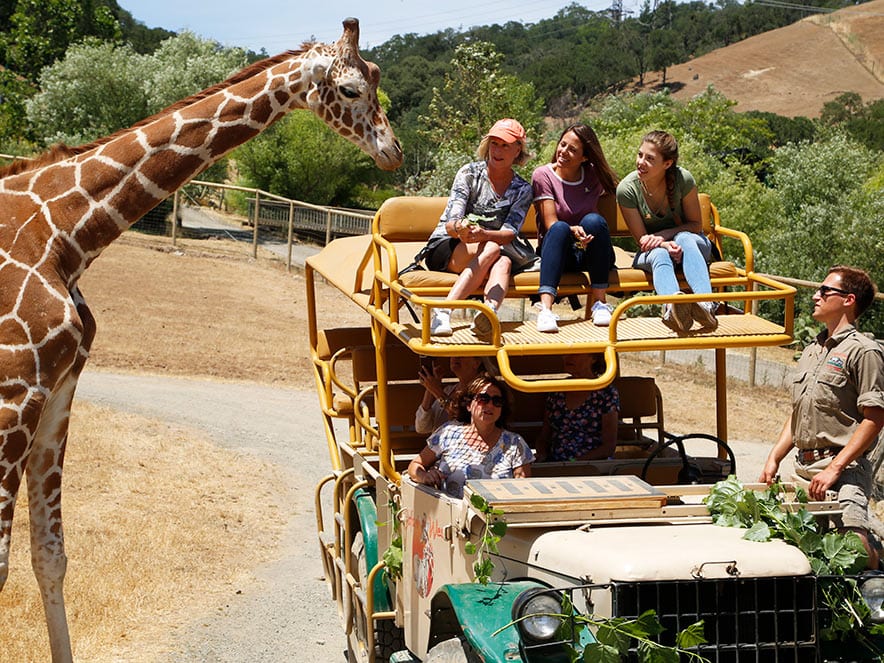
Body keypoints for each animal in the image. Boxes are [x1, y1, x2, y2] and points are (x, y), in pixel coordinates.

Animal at [0, 18, 400, 660]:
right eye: (351, 89)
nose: (394, 152)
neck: (65, 231)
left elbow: (50, 556)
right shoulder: (16, 387)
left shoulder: (57, 387)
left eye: (378, 78)